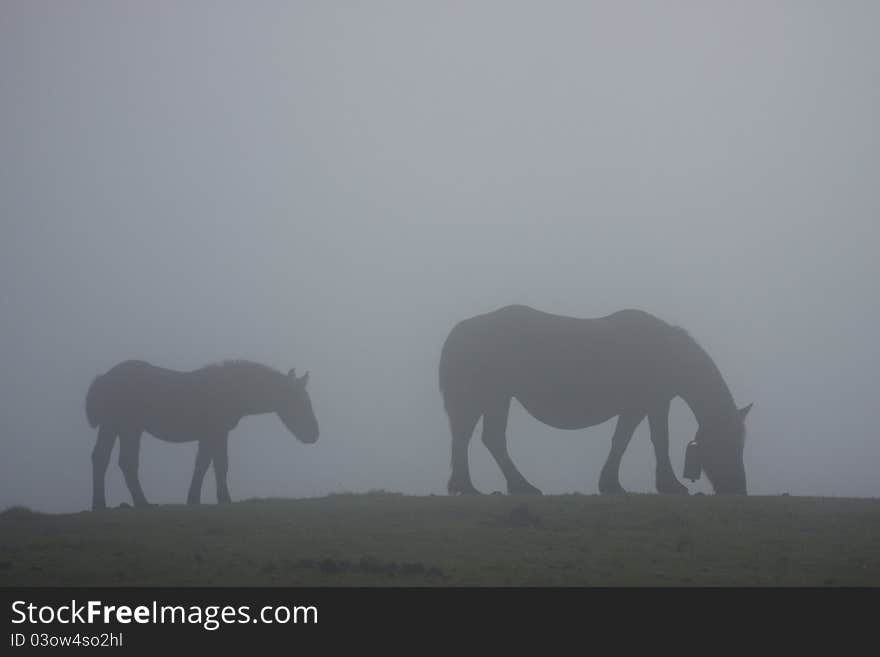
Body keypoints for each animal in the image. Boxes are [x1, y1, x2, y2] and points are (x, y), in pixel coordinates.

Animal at [85, 358, 320, 508]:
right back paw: (140, 503)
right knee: (126, 462)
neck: (231, 389)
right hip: (128, 428)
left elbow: (206, 465)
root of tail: (102, 379)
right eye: (299, 403)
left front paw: (198, 498)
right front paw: (220, 499)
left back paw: (100, 504)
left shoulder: (211, 435)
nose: (314, 435)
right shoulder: (216, 433)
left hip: (114, 428)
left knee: (103, 459)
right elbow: (217, 465)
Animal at [436, 304, 752, 494]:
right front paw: (669, 485)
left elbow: (621, 440)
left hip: (491, 398)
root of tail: (460, 332)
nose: (738, 488)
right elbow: (658, 441)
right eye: (725, 444)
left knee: (473, 438)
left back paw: (473, 486)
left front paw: (611, 483)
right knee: (483, 438)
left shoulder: (636, 407)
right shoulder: (655, 403)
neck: (667, 352)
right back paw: (511, 486)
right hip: (492, 397)